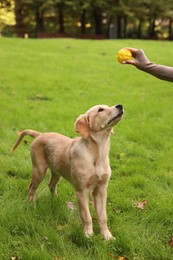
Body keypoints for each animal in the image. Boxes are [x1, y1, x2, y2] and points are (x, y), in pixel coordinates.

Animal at [12, 103, 123, 240]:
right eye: (100, 110)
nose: (120, 105)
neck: (97, 153)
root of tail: (40, 134)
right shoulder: (81, 190)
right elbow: (86, 216)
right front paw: (88, 234)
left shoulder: (101, 189)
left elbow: (103, 216)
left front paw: (107, 236)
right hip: (39, 170)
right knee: (31, 188)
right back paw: (32, 206)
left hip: (57, 171)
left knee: (51, 185)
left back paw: (55, 200)